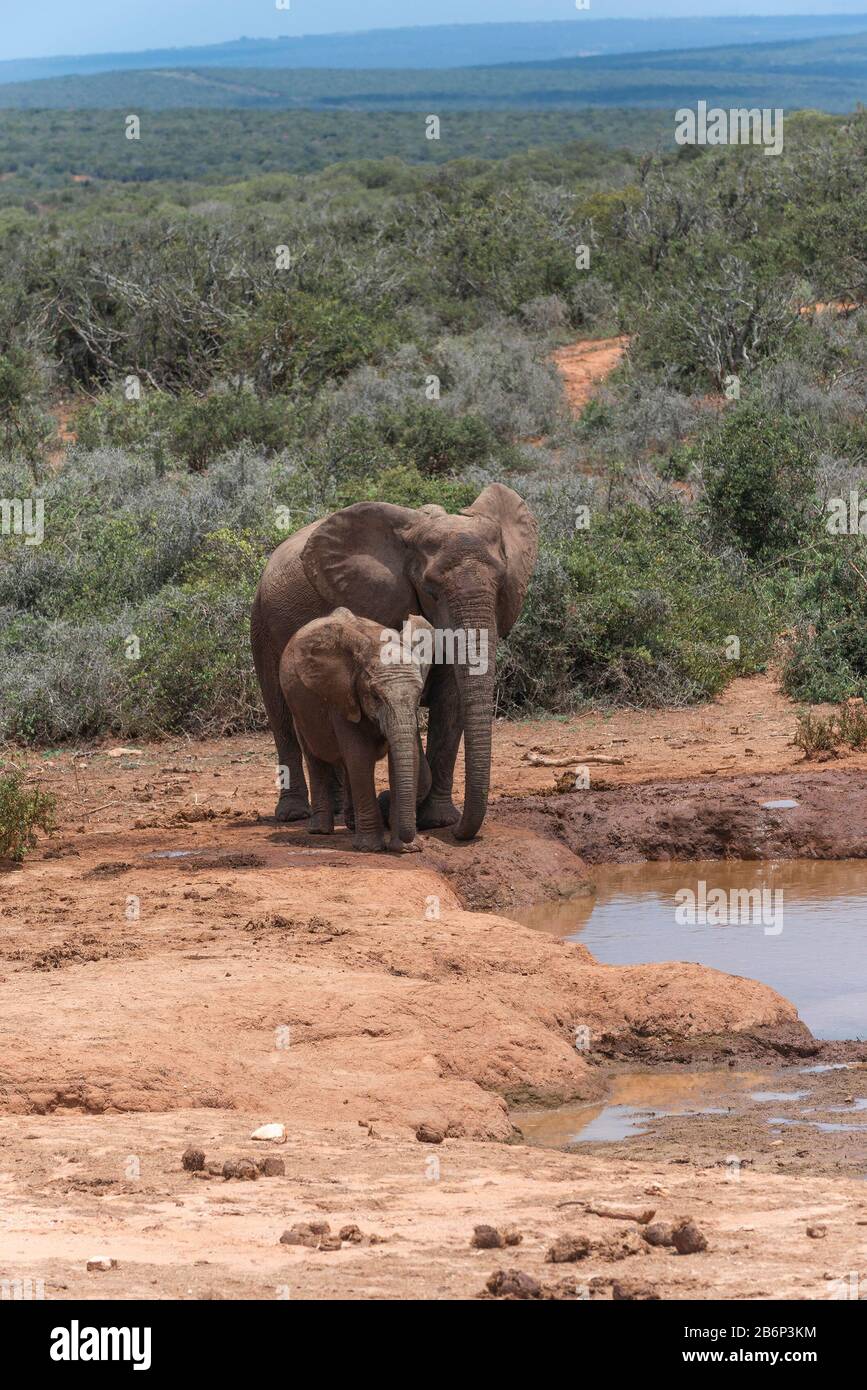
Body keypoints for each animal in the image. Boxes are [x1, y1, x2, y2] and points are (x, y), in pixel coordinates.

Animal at [280, 606, 433, 845]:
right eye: (376, 696)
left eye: (418, 697)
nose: (409, 837)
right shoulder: (341, 695)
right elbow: (360, 756)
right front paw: (371, 847)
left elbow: (404, 757)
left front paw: (406, 848)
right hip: (298, 708)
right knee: (315, 759)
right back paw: (320, 831)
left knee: (345, 763)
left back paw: (352, 826)